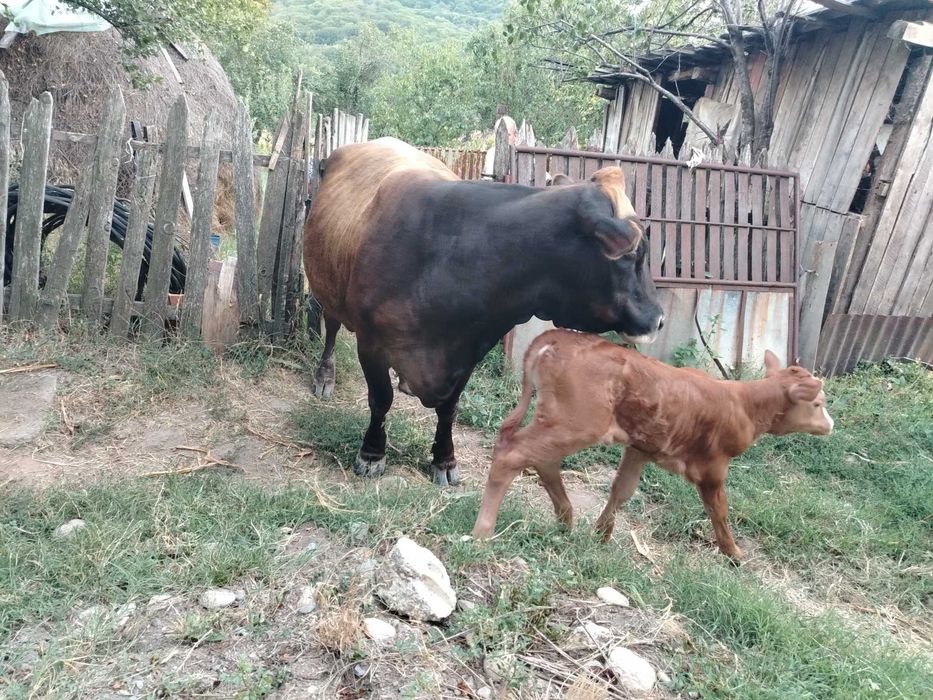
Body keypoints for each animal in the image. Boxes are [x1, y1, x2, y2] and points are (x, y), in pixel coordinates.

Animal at [302, 138, 665, 487]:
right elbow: (381, 399)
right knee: (331, 327)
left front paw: (444, 460)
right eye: (636, 254)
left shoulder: (471, 349)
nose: (659, 319)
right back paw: (325, 376)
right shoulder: (372, 343)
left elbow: (449, 409)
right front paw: (372, 454)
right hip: (327, 288)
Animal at [471, 329, 835, 560]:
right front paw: (733, 553)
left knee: (540, 458)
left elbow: (622, 491)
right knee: (513, 454)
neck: (744, 404)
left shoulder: (640, 449)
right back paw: (482, 532)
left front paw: (601, 535)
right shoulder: (714, 466)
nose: (830, 425)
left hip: (561, 421)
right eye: (818, 403)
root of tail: (556, 337)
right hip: (576, 422)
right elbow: (719, 511)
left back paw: (566, 520)